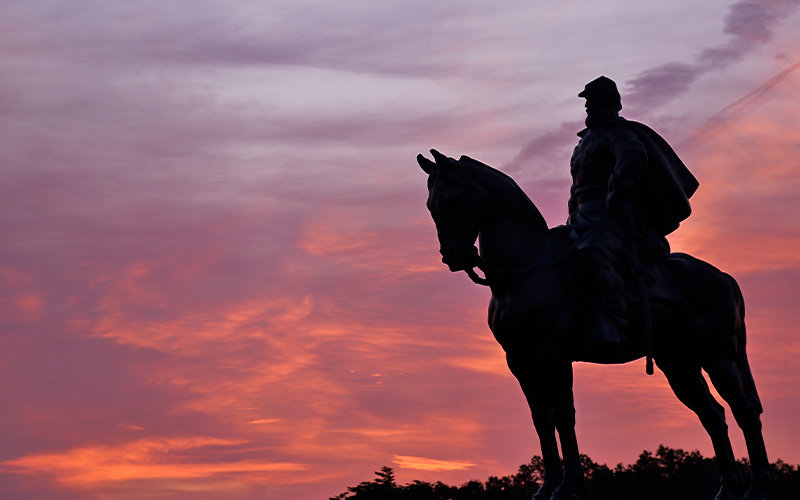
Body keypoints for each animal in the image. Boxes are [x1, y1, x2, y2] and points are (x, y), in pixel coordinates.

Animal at [418, 149, 768, 500]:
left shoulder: (553, 354)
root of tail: (722, 276)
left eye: (452, 198)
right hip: (679, 364)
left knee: (745, 412)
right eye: (429, 206)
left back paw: (757, 487)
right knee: (713, 416)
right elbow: (541, 418)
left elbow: (563, 415)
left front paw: (568, 486)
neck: (528, 269)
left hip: (717, 358)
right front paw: (546, 486)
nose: (453, 257)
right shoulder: (519, 360)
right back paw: (728, 487)